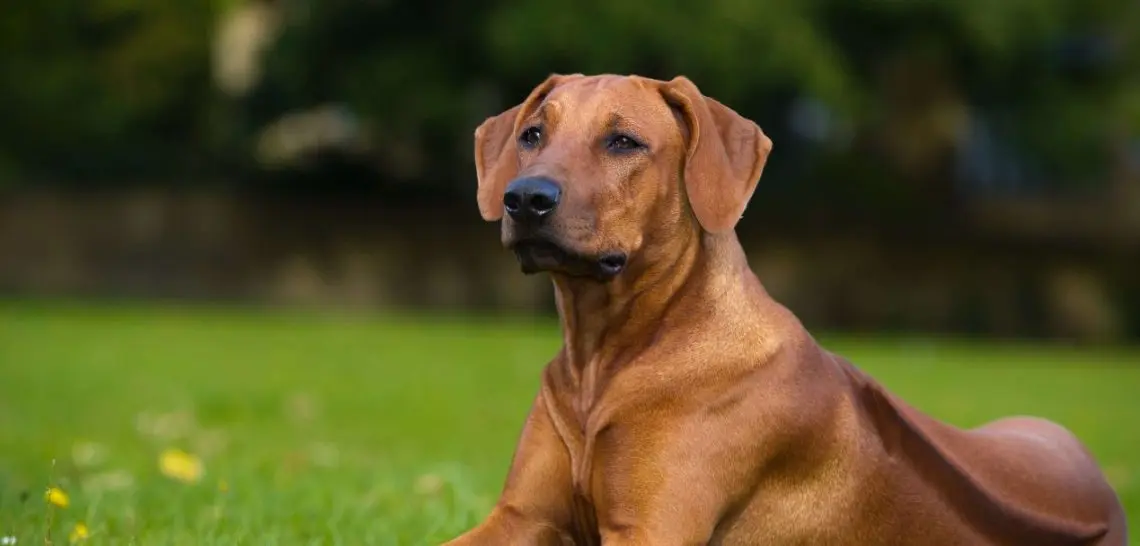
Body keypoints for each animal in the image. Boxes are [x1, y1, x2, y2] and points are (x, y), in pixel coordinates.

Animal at [440, 73, 1126, 546]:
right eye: (532, 135)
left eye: (623, 141)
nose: (524, 198)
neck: (605, 357)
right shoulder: (520, 516)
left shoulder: (652, 529)